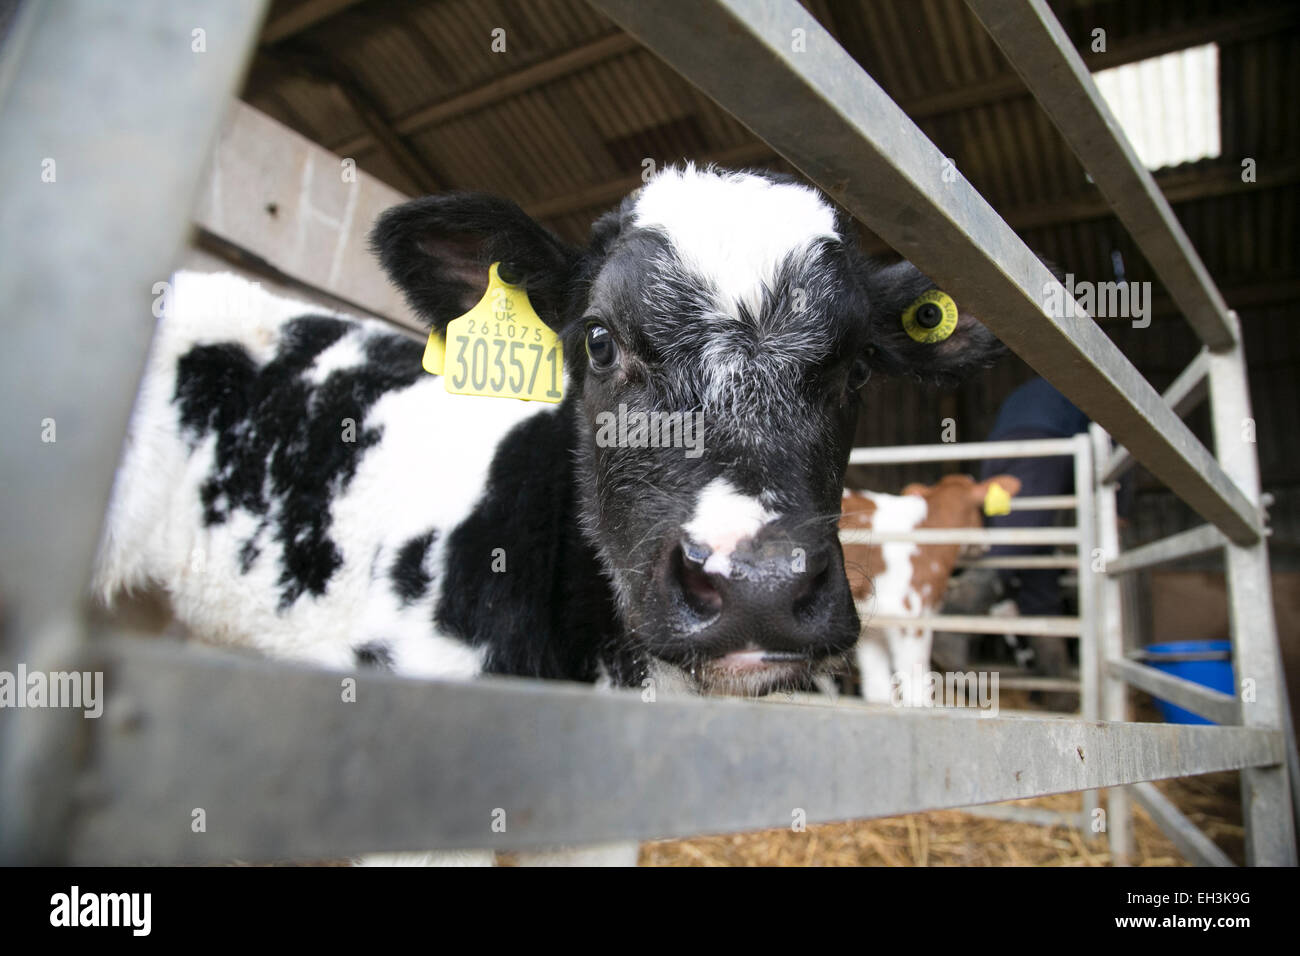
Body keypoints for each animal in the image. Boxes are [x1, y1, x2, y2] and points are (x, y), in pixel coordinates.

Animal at [840, 474, 1020, 704]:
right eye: (980, 511)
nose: (985, 543)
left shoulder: (875, 625)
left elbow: (877, 689)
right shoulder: (913, 613)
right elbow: (916, 683)